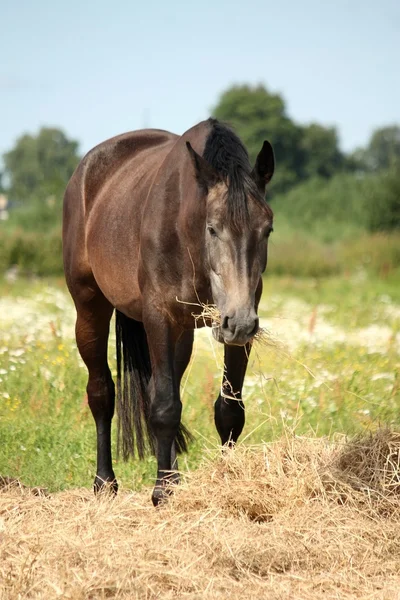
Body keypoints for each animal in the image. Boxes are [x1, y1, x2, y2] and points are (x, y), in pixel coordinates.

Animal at [62, 118, 276, 506]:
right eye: (213, 228)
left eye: (267, 229)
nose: (239, 321)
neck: (186, 230)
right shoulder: (158, 317)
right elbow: (163, 407)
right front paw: (161, 491)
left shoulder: (236, 329)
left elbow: (228, 409)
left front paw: (223, 480)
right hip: (90, 308)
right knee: (101, 394)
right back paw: (105, 483)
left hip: (184, 333)